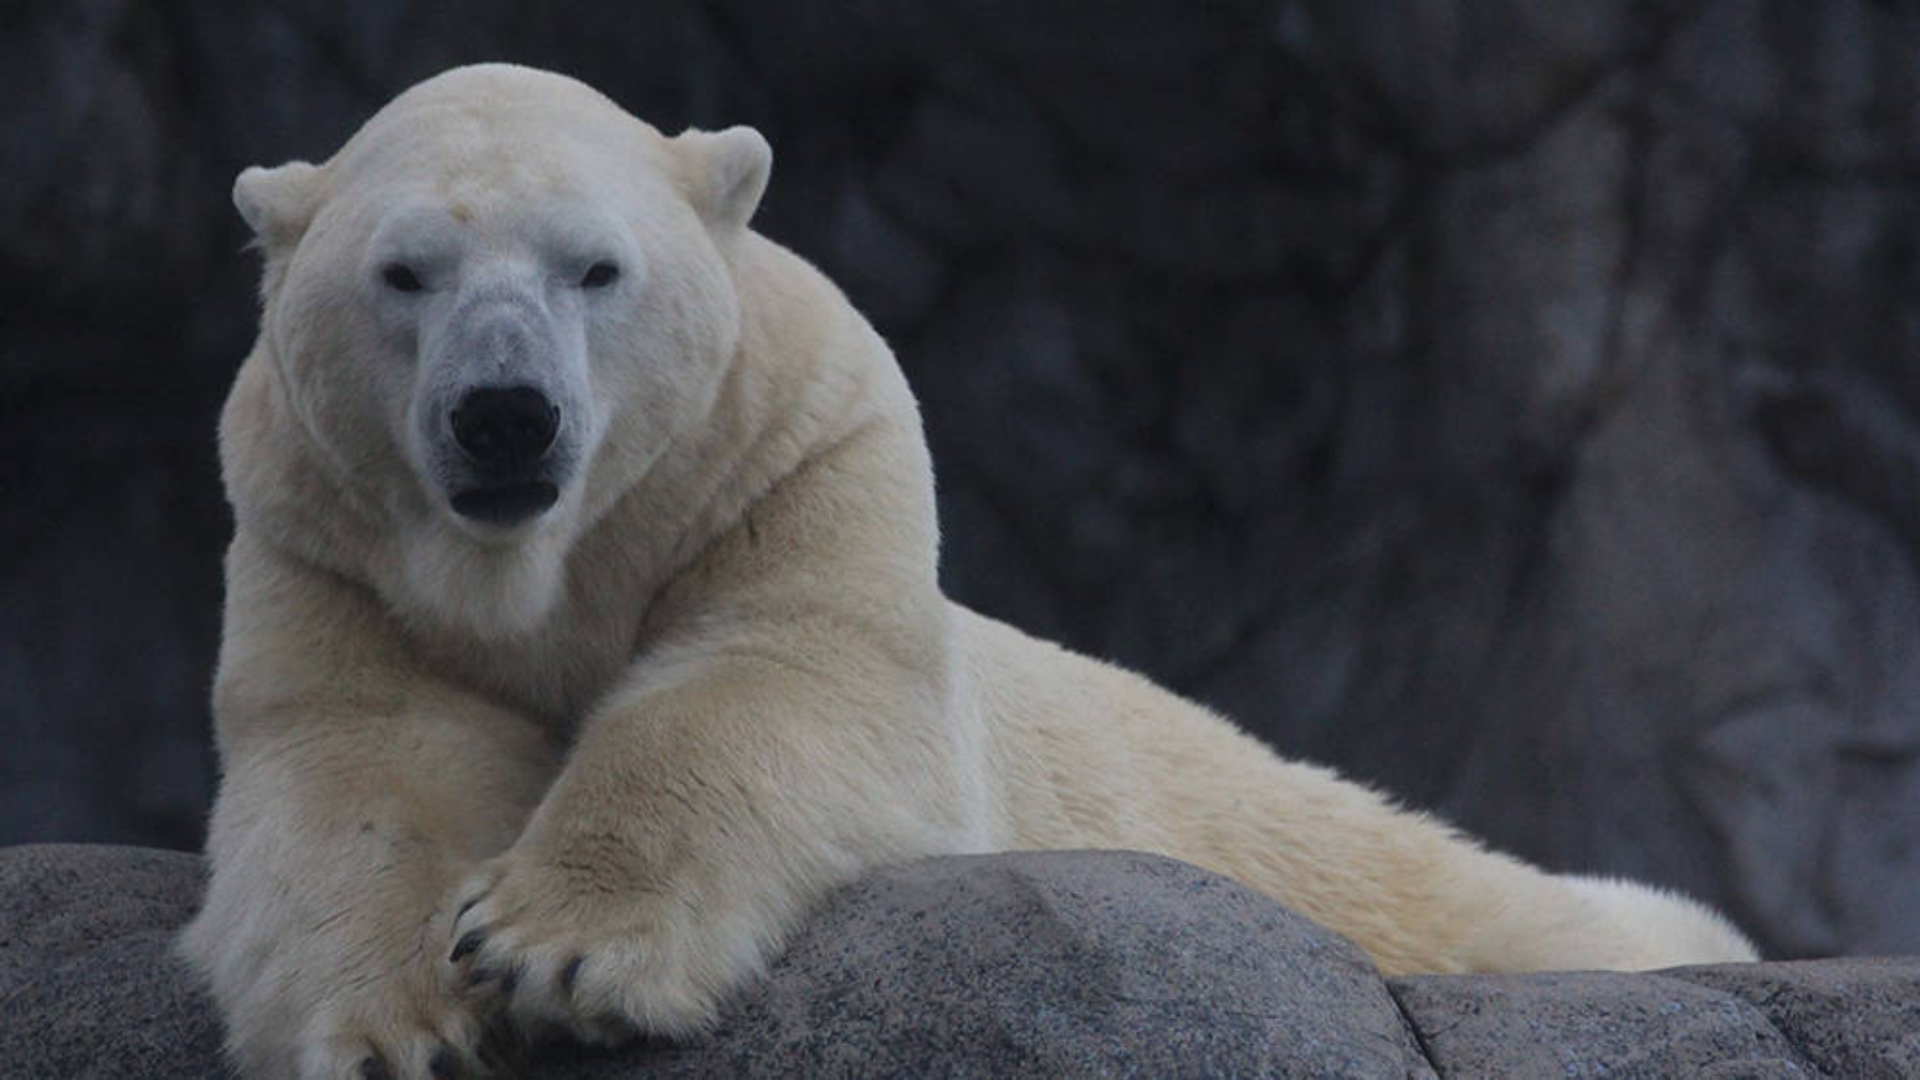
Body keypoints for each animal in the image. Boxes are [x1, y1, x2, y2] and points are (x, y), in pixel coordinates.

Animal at [181, 63, 1757, 1079]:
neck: (542, 561)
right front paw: (393, 1028)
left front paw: (550, 951)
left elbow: (776, 677)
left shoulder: (796, 463)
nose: (506, 414)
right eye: (404, 274)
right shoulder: (327, 543)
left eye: (596, 267)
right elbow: (368, 763)